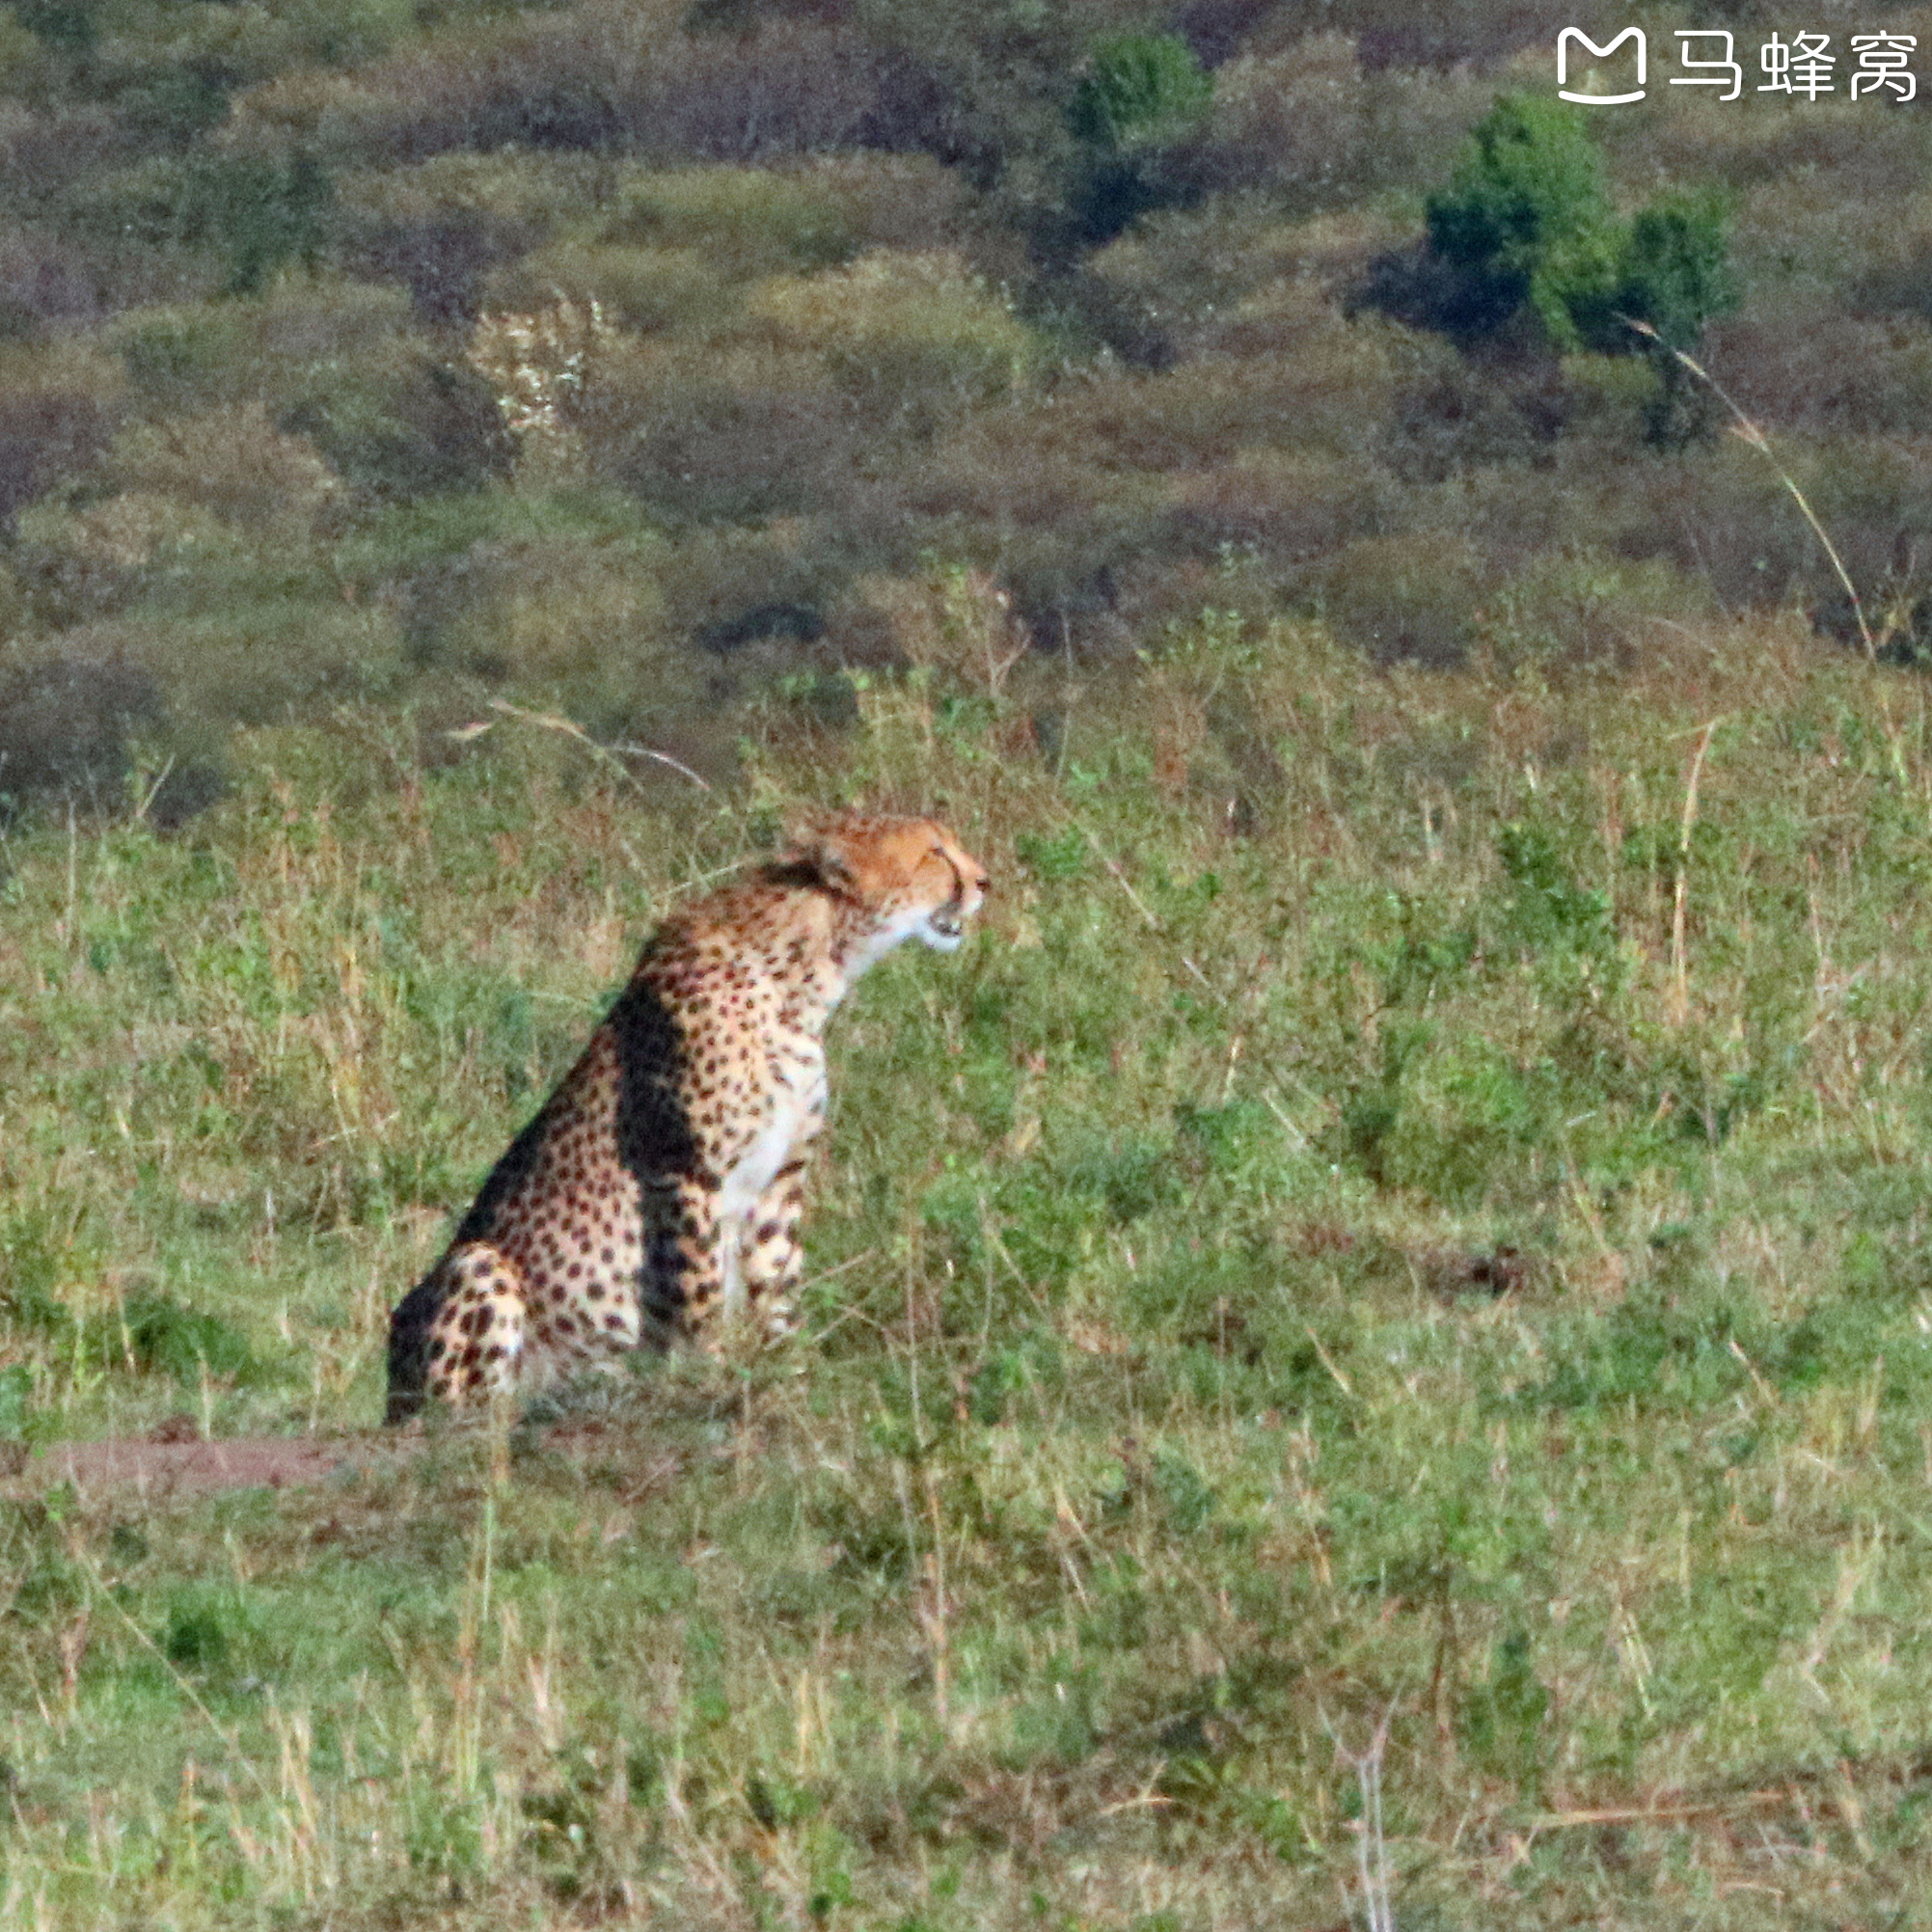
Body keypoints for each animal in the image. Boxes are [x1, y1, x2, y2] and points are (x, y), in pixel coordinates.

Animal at [384, 807, 989, 1429]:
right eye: (935, 853)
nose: (984, 882)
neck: (812, 969)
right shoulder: (688, 1171)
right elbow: (700, 1294)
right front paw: (711, 1377)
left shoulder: (780, 1180)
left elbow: (777, 1283)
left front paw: (790, 1379)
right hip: (476, 1267)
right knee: (466, 1412)